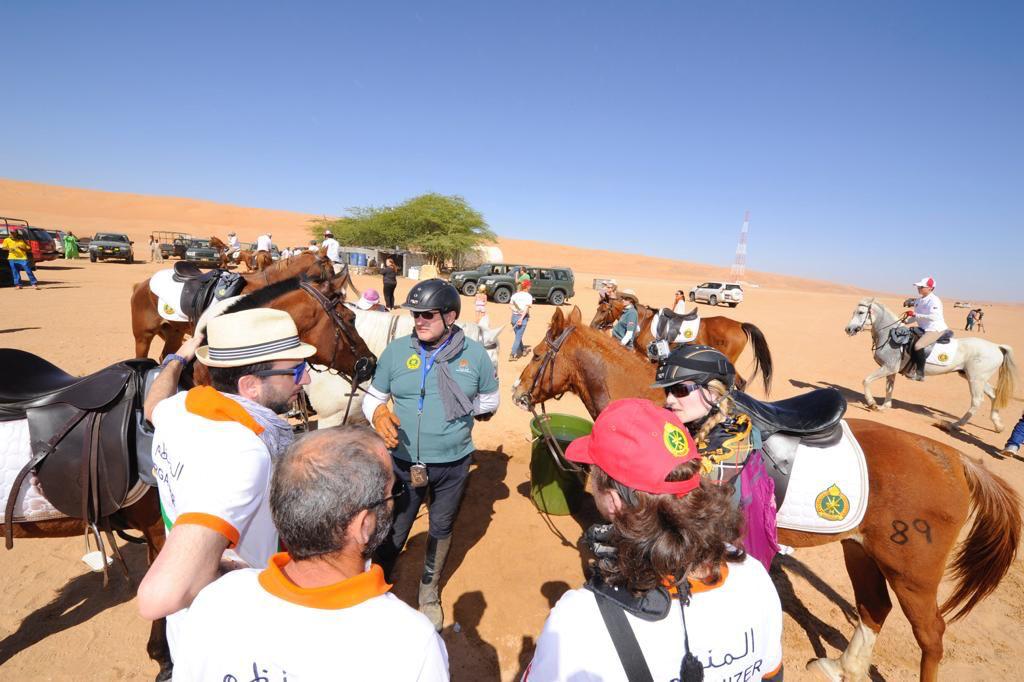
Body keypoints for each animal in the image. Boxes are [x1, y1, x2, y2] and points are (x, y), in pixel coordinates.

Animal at [589, 294, 770, 391]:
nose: (593, 325)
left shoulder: (648, 356)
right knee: (741, 383)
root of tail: (739, 324)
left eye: (603, 310)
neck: (644, 321)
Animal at [843, 296, 1019, 430]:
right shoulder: (891, 370)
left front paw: (872, 404)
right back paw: (998, 426)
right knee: (993, 395)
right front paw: (885, 406)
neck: (890, 337)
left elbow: (866, 381)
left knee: (977, 401)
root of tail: (997, 347)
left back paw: (956, 425)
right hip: (975, 377)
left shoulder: (888, 367)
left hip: (975, 379)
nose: (848, 329)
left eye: (860, 312)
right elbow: (889, 388)